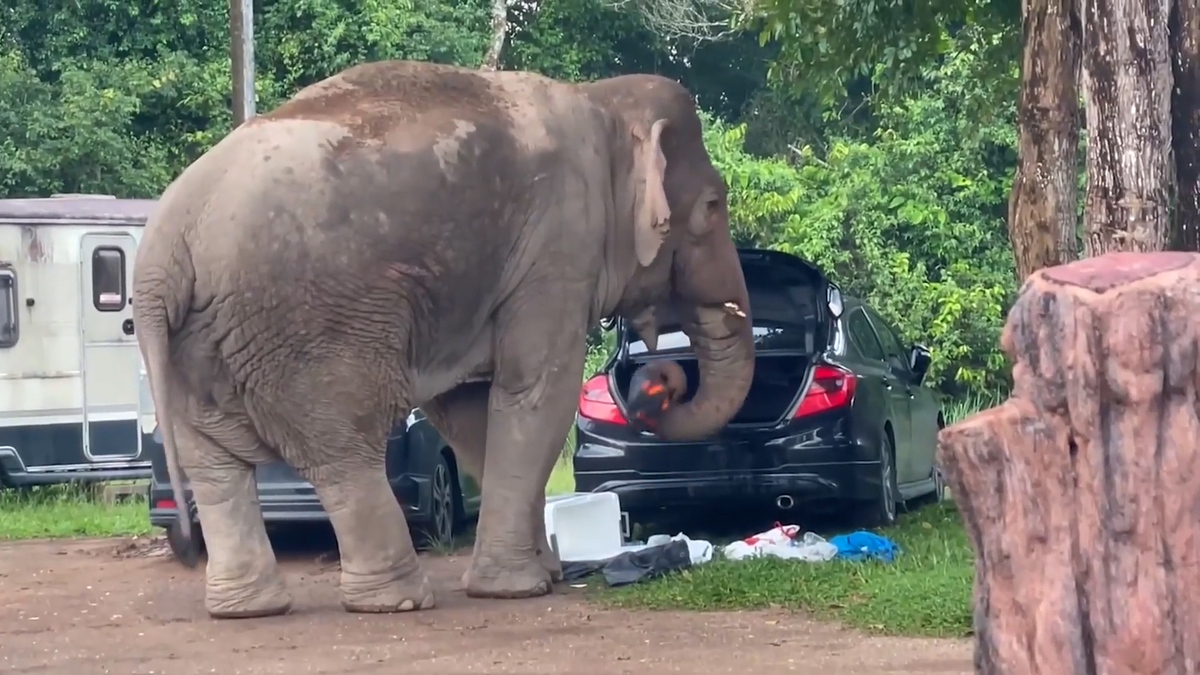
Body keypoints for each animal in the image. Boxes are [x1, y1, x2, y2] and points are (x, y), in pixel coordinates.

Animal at [132, 59, 754, 619]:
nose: (659, 382)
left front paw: (545, 574)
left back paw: (248, 609)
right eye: (712, 207)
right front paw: (520, 589)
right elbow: (535, 392)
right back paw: (398, 600)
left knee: (215, 467)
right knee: (344, 450)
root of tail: (163, 253)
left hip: (196, 347)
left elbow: (471, 413)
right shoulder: (559, 243)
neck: (599, 100)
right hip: (303, 329)